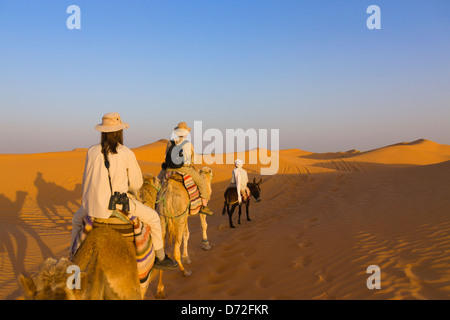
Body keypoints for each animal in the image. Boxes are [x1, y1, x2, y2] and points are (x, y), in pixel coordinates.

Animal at [153, 166, 213, 298]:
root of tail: (168, 195)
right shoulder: (197, 211)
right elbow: (204, 225)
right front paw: (206, 244)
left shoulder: (185, 216)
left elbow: (187, 234)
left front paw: (186, 257)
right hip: (178, 217)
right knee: (175, 251)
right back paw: (185, 272)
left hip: (163, 217)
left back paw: (160, 289)